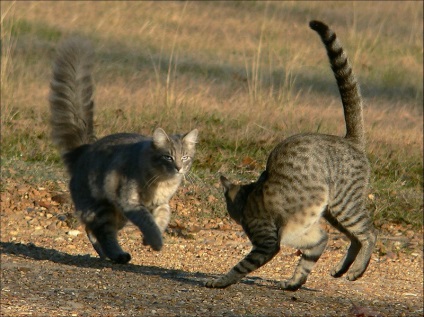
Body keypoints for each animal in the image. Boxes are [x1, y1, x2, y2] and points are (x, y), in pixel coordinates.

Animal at [48, 37, 198, 262]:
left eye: (186, 157)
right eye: (168, 157)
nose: (179, 168)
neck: (162, 182)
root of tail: (84, 150)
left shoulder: (161, 204)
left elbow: (162, 218)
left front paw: (150, 239)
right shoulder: (131, 202)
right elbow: (148, 222)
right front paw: (154, 240)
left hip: (117, 215)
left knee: (94, 231)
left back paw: (110, 255)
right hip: (103, 209)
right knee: (100, 232)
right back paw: (117, 255)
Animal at [207, 21, 376, 290]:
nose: (229, 214)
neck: (250, 194)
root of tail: (350, 140)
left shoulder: (267, 241)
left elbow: (241, 266)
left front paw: (221, 281)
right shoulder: (309, 233)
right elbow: (311, 255)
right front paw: (295, 282)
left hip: (345, 204)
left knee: (369, 233)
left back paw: (357, 270)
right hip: (333, 212)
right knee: (355, 238)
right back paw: (341, 269)